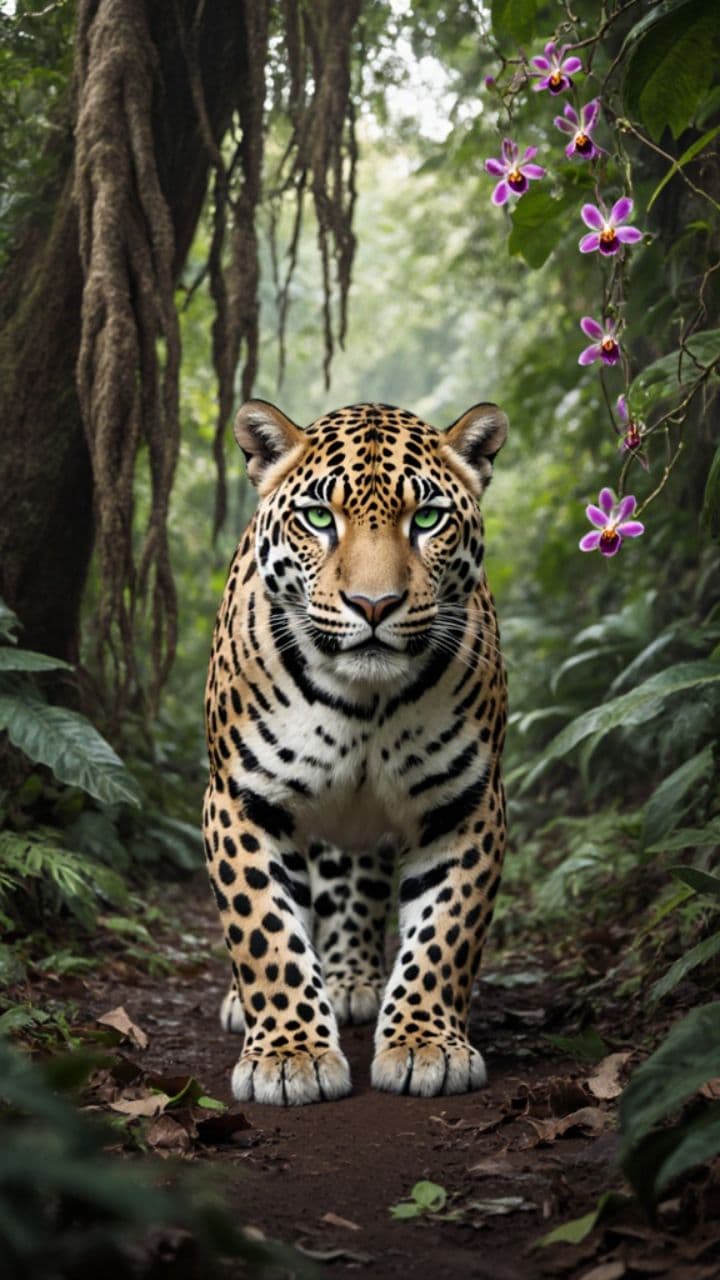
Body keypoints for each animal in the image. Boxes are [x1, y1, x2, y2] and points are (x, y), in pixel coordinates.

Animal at [203, 398, 508, 1106]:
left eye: (426, 519)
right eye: (320, 518)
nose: (374, 605)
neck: (367, 700)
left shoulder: (468, 802)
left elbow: (445, 932)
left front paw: (427, 1045)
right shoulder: (240, 799)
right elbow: (263, 931)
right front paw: (288, 1055)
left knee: (354, 880)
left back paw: (349, 982)